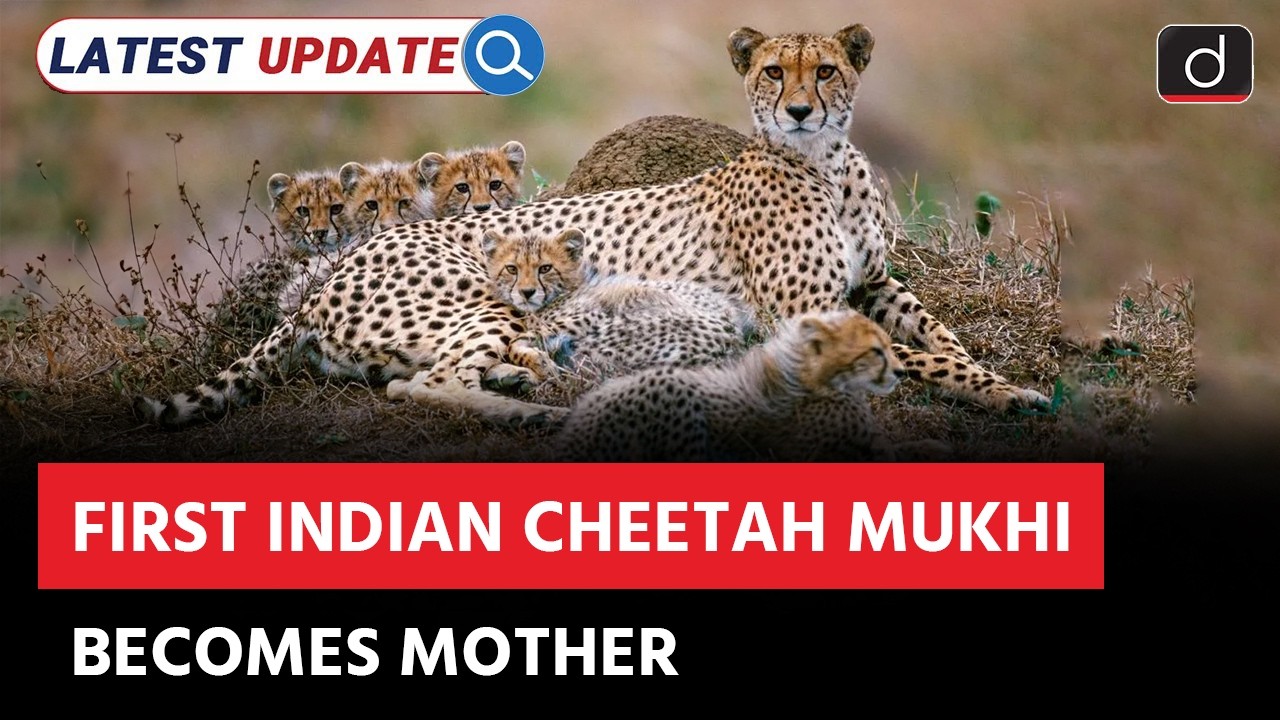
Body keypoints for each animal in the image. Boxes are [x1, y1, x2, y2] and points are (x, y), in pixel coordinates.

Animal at [137, 22, 1047, 433]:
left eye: (825, 70)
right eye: (769, 71)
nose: (796, 108)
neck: (823, 160)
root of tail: (329, 277)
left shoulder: (876, 281)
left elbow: (939, 334)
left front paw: (996, 376)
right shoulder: (800, 314)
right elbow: (914, 353)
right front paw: (1005, 391)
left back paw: (522, 383)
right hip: (493, 300)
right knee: (418, 383)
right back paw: (528, 409)